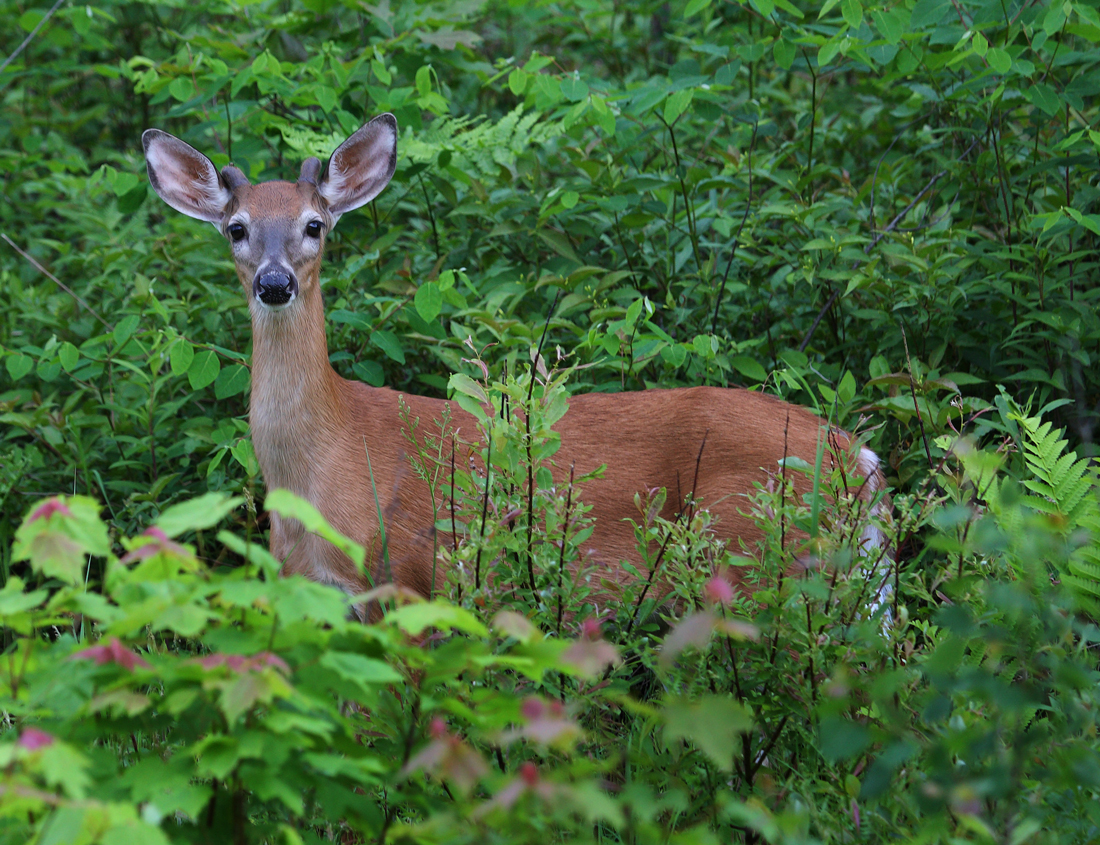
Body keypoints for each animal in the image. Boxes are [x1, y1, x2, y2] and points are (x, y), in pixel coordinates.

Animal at [141, 112, 888, 616]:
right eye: (236, 228)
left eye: (314, 225)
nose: (275, 283)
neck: (326, 460)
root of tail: (859, 458)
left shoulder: (407, 574)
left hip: (755, 559)